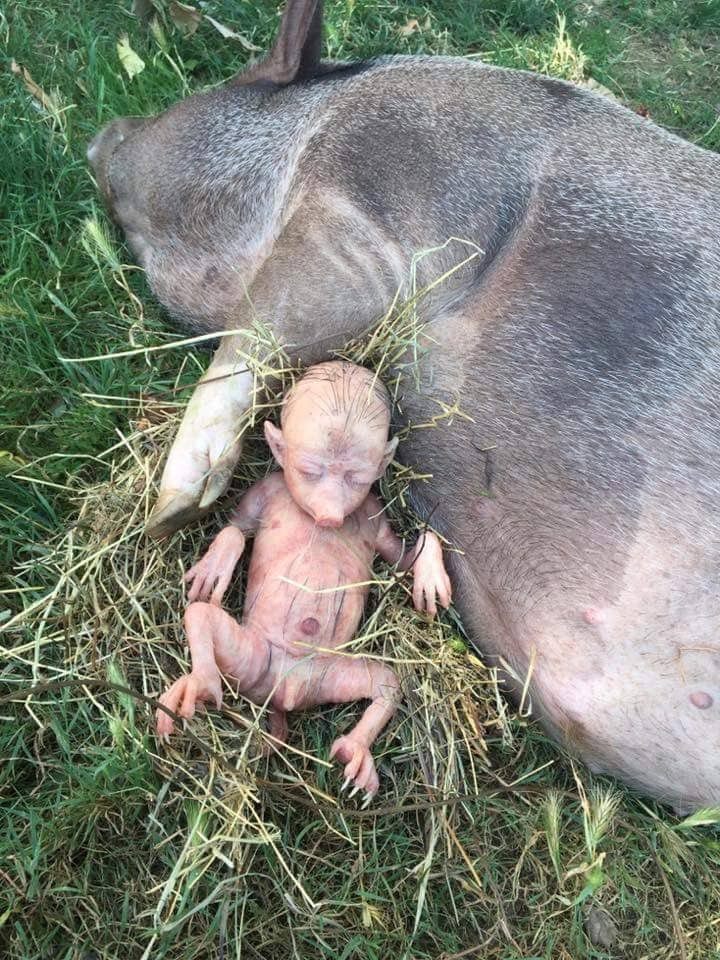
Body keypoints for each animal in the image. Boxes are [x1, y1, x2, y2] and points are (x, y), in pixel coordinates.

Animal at [155, 360, 452, 796]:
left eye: (356, 477)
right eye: (308, 470)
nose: (329, 516)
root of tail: (285, 696)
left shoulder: (375, 511)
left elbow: (402, 557)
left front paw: (429, 572)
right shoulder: (266, 486)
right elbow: (237, 526)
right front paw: (215, 566)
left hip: (328, 676)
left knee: (386, 682)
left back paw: (355, 755)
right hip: (254, 657)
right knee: (201, 617)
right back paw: (196, 686)